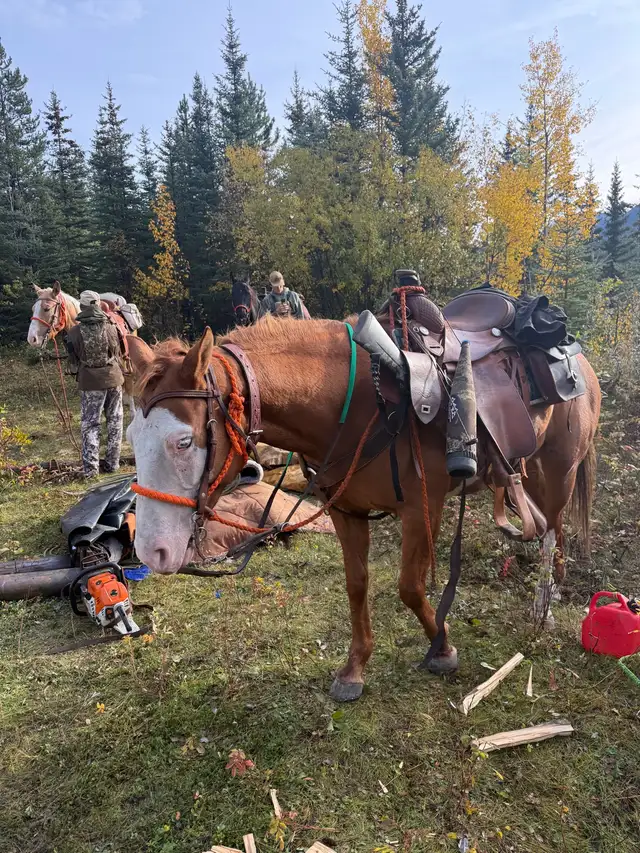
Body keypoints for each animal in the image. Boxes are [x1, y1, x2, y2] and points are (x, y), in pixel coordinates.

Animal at [126, 311, 600, 702]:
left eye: (183, 441)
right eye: (133, 437)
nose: (151, 552)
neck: (357, 403)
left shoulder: (421, 508)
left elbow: (410, 587)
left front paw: (442, 648)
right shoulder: (346, 513)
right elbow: (356, 585)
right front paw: (355, 668)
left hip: (558, 468)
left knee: (553, 531)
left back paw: (545, 606)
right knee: (545, 525)